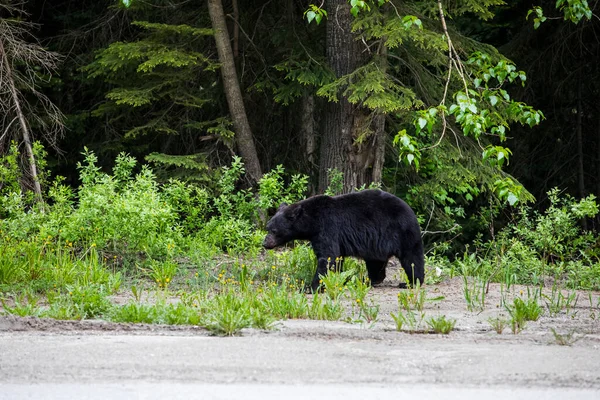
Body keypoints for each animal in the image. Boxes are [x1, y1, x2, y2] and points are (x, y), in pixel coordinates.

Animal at [264, 190, 426, 290]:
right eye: (267, 227)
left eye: (274, 230)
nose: (265, 243)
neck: (312, 221)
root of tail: (411, 211)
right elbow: (337, 258)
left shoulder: (327, 228)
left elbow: (327, 257)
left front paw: (310, 287)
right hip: (376, 244)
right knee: (375, 262)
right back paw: (369, 280)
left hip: (402, 233)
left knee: (412, 258)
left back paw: (411, 282)